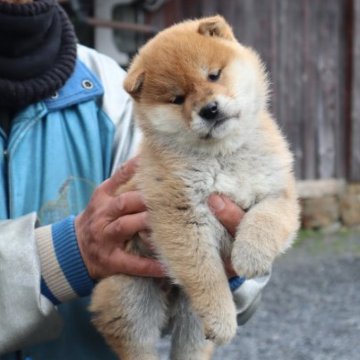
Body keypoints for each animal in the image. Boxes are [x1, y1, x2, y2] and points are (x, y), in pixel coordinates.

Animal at [90, 15, 300, 358]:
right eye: (177, 99)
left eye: (213, 74)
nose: (209, 109)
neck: (223, 155)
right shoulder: (181, 215)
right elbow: (207, 276)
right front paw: (222, 315)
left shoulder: (278, 191)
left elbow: (265, 221)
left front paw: (249, 257)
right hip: (131, 295)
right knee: (137, 342)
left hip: (187, 318)